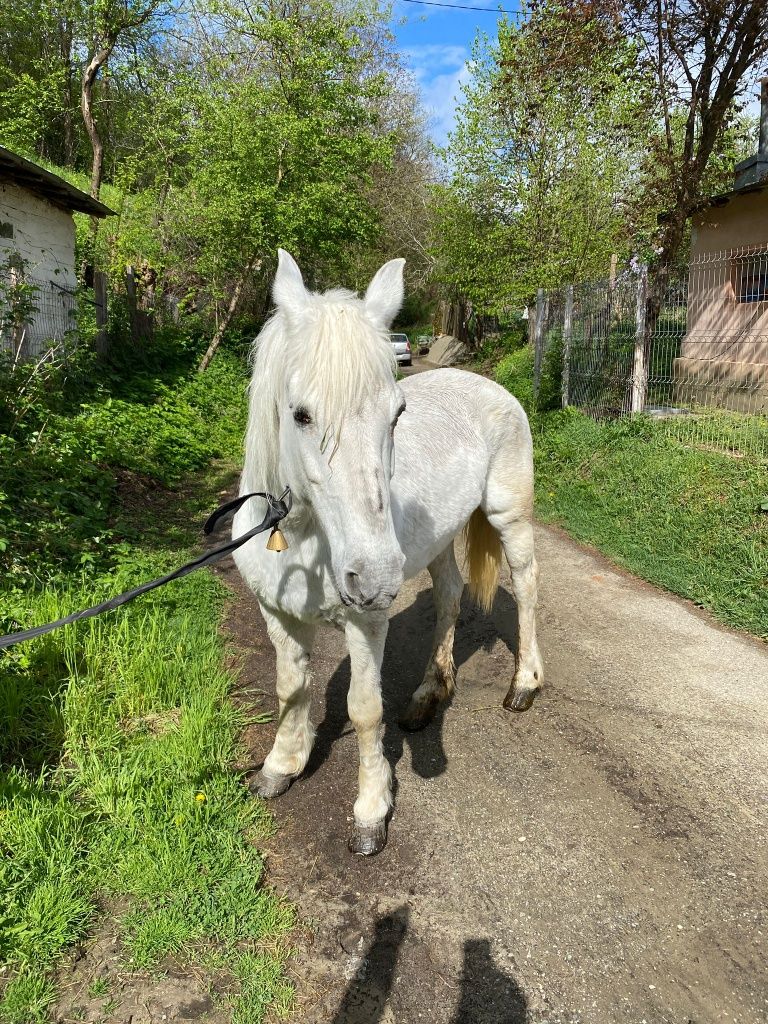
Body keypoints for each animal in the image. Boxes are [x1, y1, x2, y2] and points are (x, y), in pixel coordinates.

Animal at [231, 249, 544, 856]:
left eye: (397, 412)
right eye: (300, 414)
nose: (374, 576)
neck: (302, 537)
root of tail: (487, 384)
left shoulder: (365, 623)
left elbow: (365, 711)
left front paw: (371, 811)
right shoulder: (274, 612)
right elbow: (290, 687)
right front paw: (282, 765)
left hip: (508, 518)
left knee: (526, 587)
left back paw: (524, 685)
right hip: (443, 541)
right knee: (449, 598)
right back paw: (428, 694)